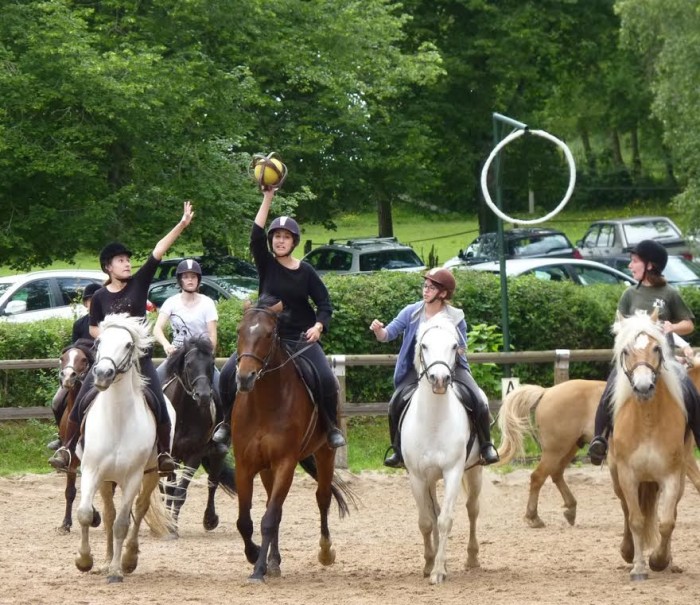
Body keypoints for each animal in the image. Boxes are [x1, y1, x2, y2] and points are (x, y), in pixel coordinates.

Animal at [74, 313, 174, 583]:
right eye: (98, 342)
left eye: (129, 345)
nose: (102, 374)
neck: (117, 418)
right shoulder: (91, 470)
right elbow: (86, 514)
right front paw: (84, 561)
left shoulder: (133, 477)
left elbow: (122, 523)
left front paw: (117, 571)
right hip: (107, 479)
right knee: (108, 513)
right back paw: (107, 560)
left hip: (151, 474)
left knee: (139, 511)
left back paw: (128, 559)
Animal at [160, 335, 236, 534]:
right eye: (188, 364)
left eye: (211, 363)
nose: (203, 396)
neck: (183, 414)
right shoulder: (170, 455)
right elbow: (170, 489)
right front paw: (167, 524)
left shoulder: (194, 454)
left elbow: (180, 492)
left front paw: (173, 526)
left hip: (217, 453)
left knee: (212, 482)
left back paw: (210, 520)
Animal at [232, 296, 354, 583]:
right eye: (240, 331)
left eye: (268, 334)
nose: (244, 378)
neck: (264, 404)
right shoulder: (244, 465)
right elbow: (245, 521)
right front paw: (256, 556)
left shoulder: (285, 463)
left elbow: (268, 519)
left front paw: (258, 570)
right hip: (266, 469)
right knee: (272, 506)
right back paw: (274, 561)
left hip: (325, 453)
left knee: (322, 498)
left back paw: (325, 551)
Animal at [401, 314, 483, 585]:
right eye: (424, 346)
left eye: (454, 346)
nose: (439, 380)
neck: (434, 420)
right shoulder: (417, 476)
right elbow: (427, 521)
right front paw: (430, 564)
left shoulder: (453, 471)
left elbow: (445, 520)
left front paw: (438, 571)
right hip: (429, 479)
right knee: (433, 514)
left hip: (475, 471)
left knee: (472, 509)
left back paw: (472, 558)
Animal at [607, 309, 693, 581]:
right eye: (626, 351)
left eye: (656, 348)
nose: (643, 386)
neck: (647, 421)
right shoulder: (627, 475)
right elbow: (635, 519)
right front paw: (638, 567)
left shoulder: (671, 476)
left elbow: (666, 522)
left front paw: (658, 560)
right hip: (617, 477)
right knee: (626, 510)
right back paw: (627, 551)